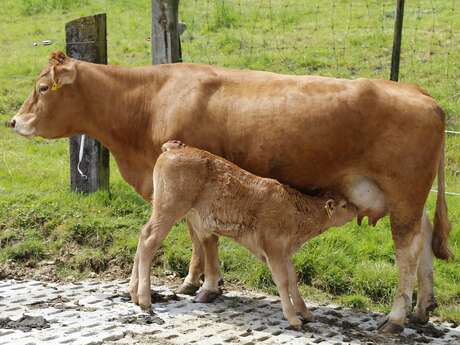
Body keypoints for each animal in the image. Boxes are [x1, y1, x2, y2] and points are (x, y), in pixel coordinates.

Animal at [129, 141, 356, 326]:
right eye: (344, 205)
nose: (356, 209)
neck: (295, 212)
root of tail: (175, 148)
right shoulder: (273, 248)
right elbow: (282, 281)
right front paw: (293, 319)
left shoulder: (285, 251)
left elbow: (293, 280)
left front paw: (306, 313)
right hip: (170, 207)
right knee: (150, 240)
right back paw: (145, 299)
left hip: (162, 207)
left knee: (143, 234)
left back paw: (134, 293)